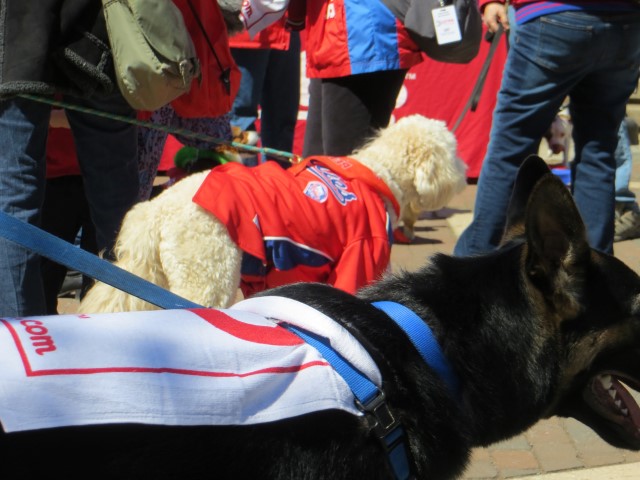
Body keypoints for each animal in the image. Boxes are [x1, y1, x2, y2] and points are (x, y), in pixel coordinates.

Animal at [80, 114, 468, 314]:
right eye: (452, 151)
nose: (465, 173)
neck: (380, 171)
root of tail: (157, 208)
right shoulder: (360, 256)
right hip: (207, 275)